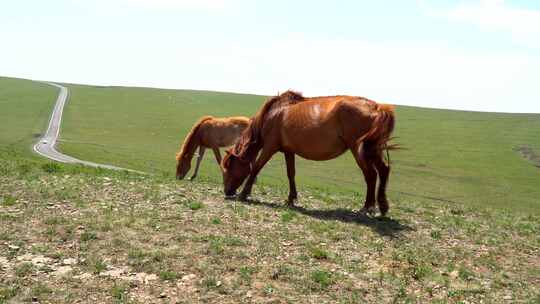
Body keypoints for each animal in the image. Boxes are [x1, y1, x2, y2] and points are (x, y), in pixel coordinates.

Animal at [220, 91, 396, 215]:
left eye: (229, 168)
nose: (227, 192)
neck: (272, 114)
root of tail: (376, 107)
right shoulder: (288, 151)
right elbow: (290, 173)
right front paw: (291, 198)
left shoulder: (270, 147)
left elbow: (256, 167)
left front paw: (244, 194)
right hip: (372, 149)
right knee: (383, 170)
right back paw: (382, 206)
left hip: (358, 149)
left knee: (371, 175)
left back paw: (367, 207)